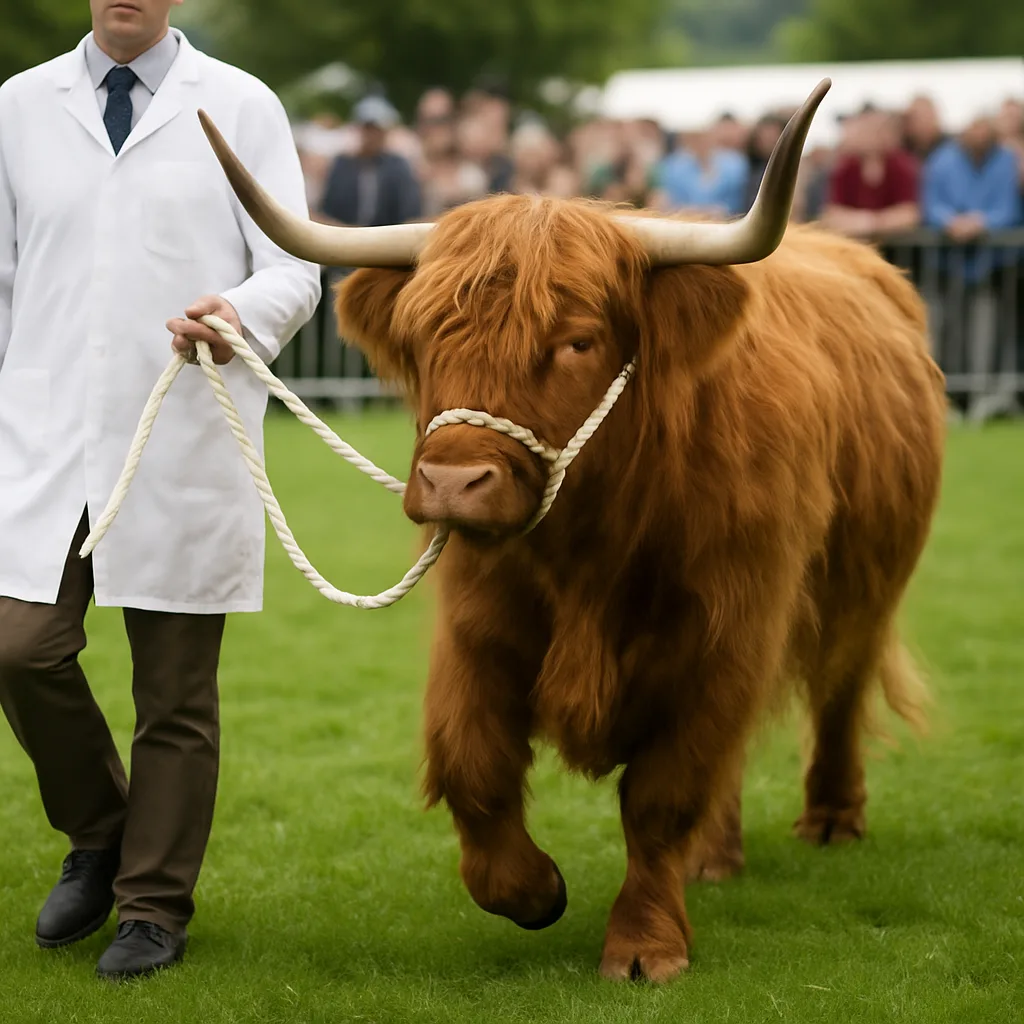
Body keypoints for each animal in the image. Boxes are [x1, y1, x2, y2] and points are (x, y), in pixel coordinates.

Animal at [198, 81, 946, 982]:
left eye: (578, 340)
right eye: (422, 337)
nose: (453, 483)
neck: (593, 549)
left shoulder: (727, 632)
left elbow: (663, 793)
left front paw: (645, 945)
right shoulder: (479, 624)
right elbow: (472, 765)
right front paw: (534, 890)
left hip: (865, 587)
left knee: (839, 688)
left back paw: (832, 819)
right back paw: (714, 857)